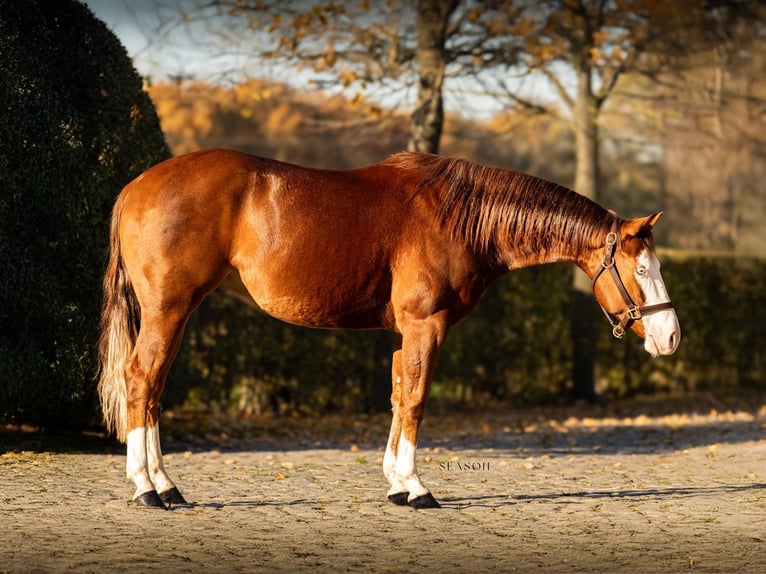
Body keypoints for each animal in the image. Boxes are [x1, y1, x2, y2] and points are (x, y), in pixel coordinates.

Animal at [98, 149, 680, 509]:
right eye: (641, 269)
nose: (671, 336)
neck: (460, 218)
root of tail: (137, 185)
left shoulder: (406, 333)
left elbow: (399, 395)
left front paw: (396, 484)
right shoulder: (427, 325)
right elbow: (417, 398)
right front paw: (417, 487)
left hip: (173, 314)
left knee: (152, 388)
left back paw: (163, 485)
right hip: (169, 311)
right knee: (142, 380)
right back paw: (149, 487)